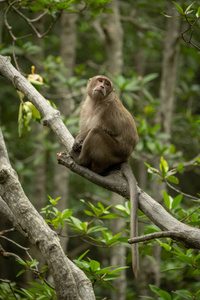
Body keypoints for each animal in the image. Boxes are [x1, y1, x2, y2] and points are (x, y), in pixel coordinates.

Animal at [70, 75, 139, 276]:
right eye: (100, 80)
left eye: (107, 84)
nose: (101, 86)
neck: (96, 103)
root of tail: (126, 156)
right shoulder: (85, 107)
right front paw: (77, 139)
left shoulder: (108, 110)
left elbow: (108, 130)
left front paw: (80, 139)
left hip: (113, 151)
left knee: (96, 132)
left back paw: (83, 161)